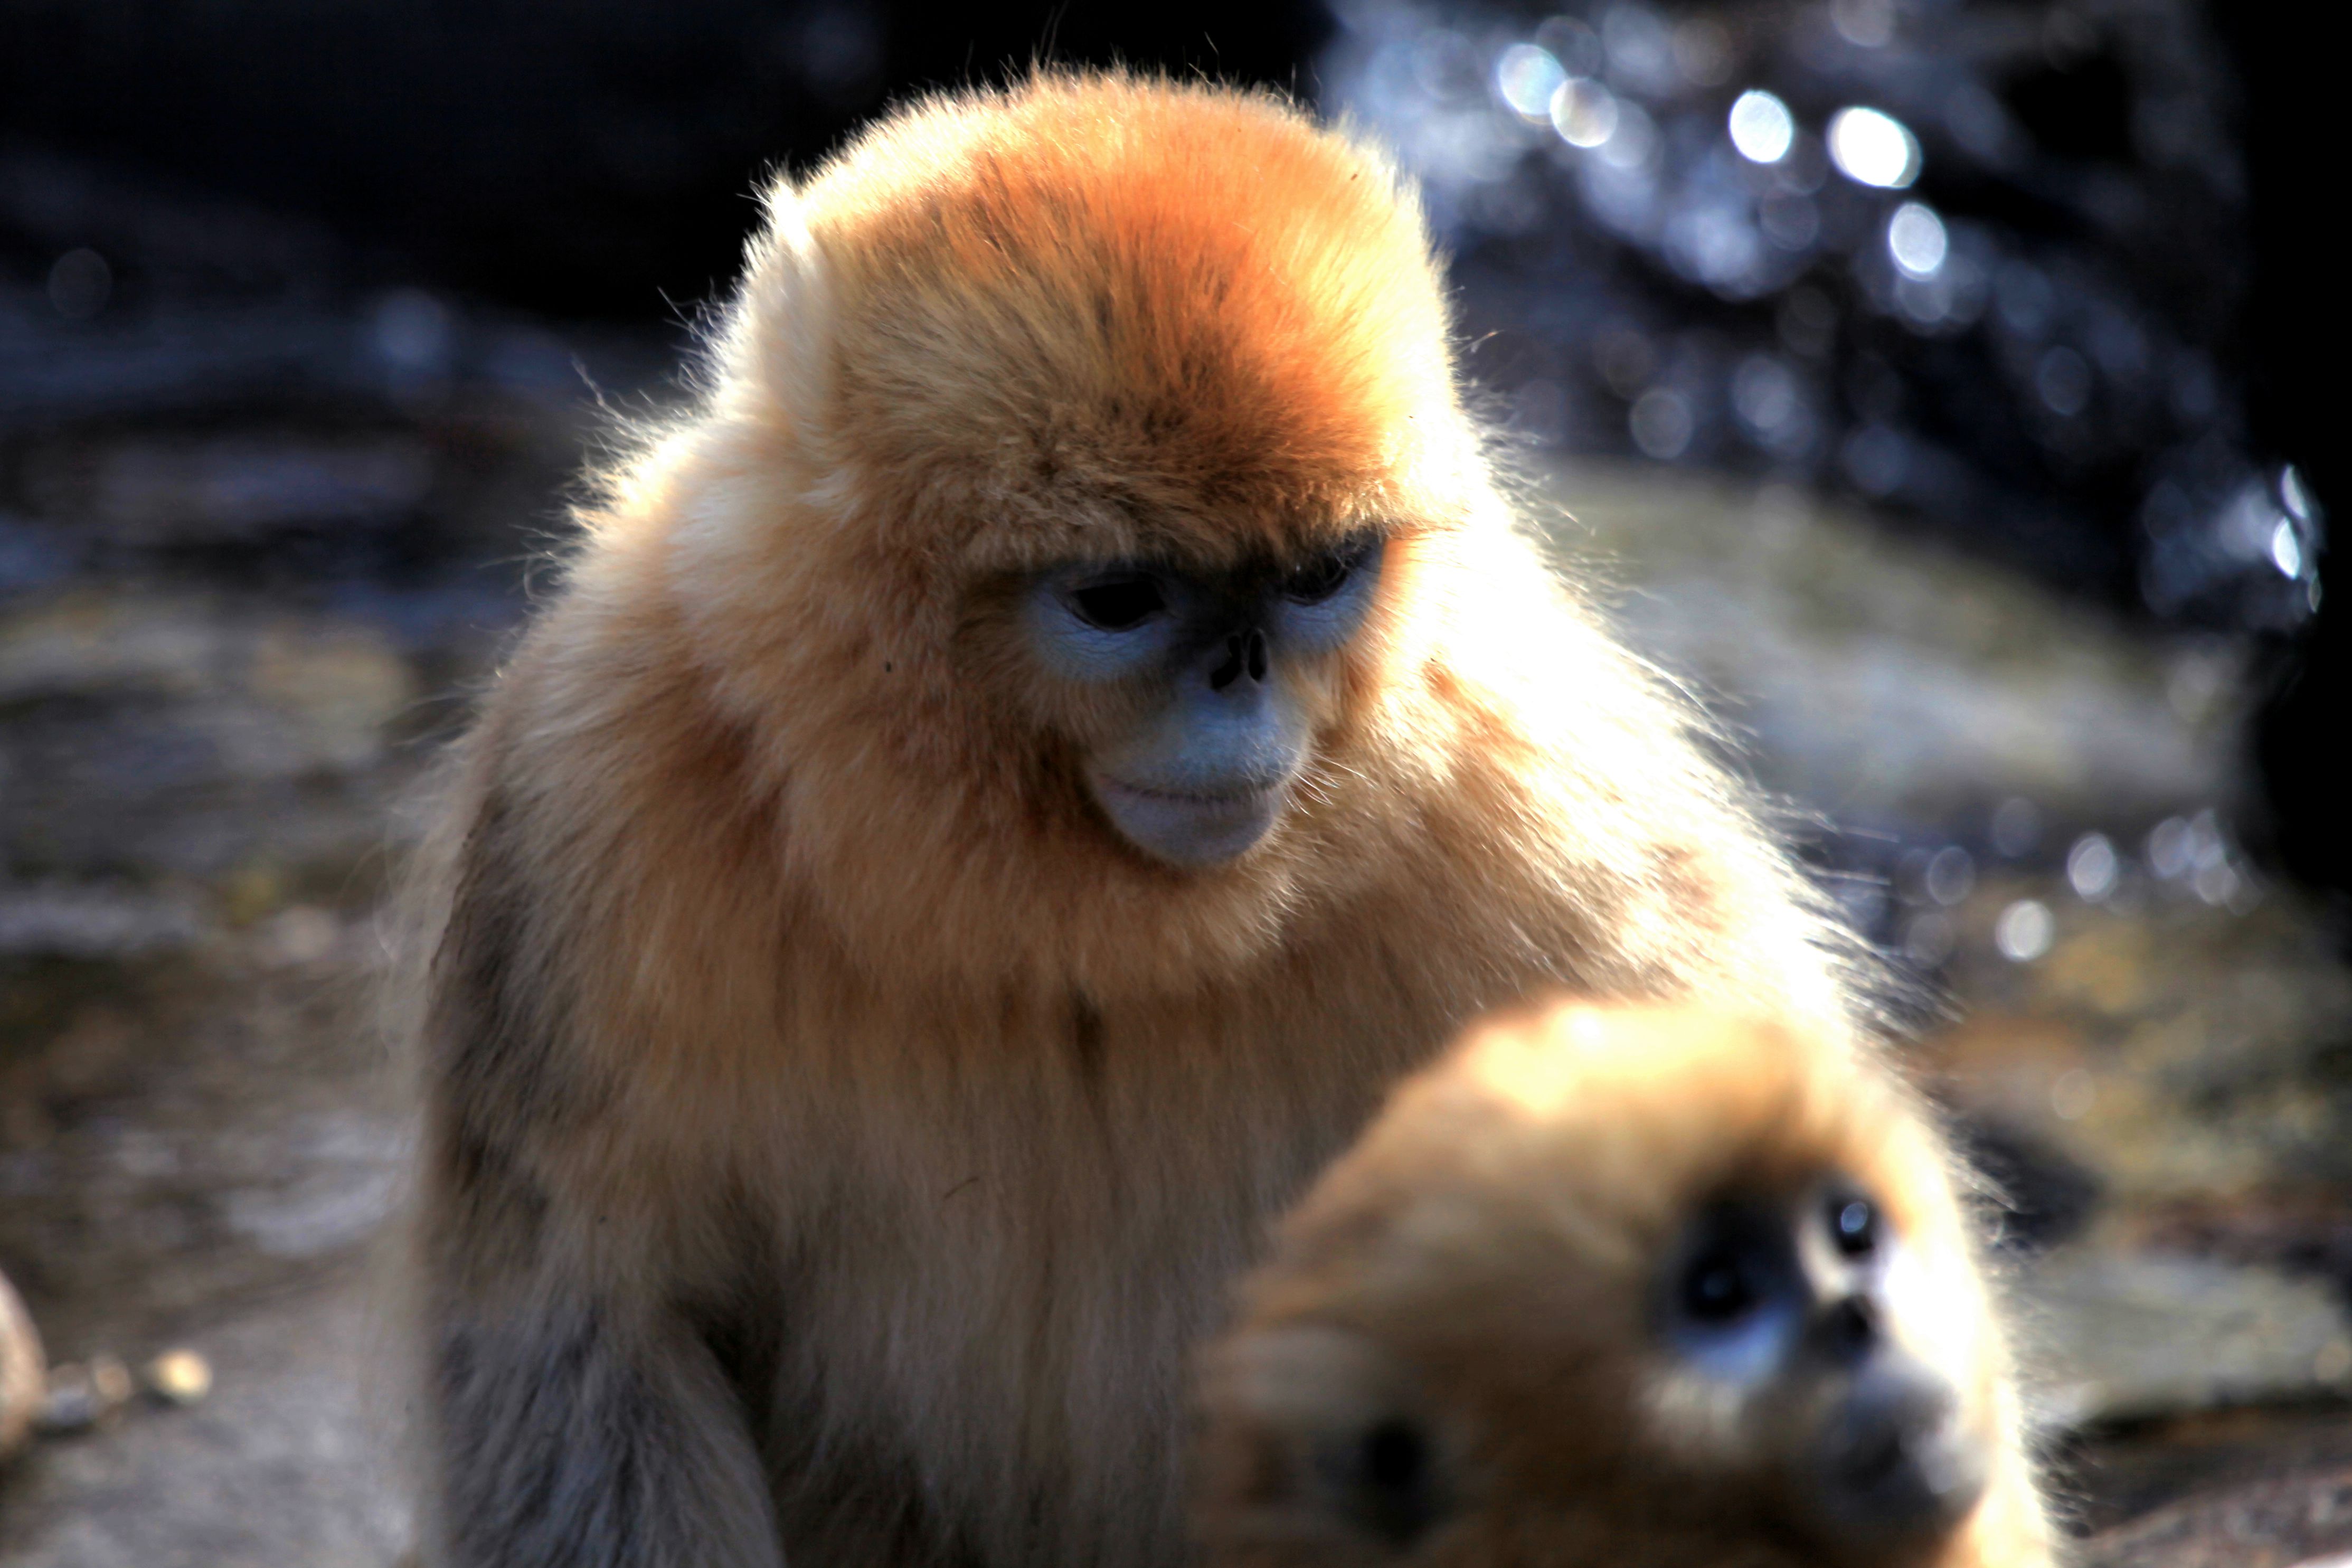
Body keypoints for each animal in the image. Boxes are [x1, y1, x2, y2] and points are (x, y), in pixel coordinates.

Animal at [423, 73, 1947, 1568]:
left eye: (1318, 575)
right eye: (1117, 597)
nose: (1240, 682)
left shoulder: (1547, 806)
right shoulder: (602, 765)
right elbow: (588, 1315)